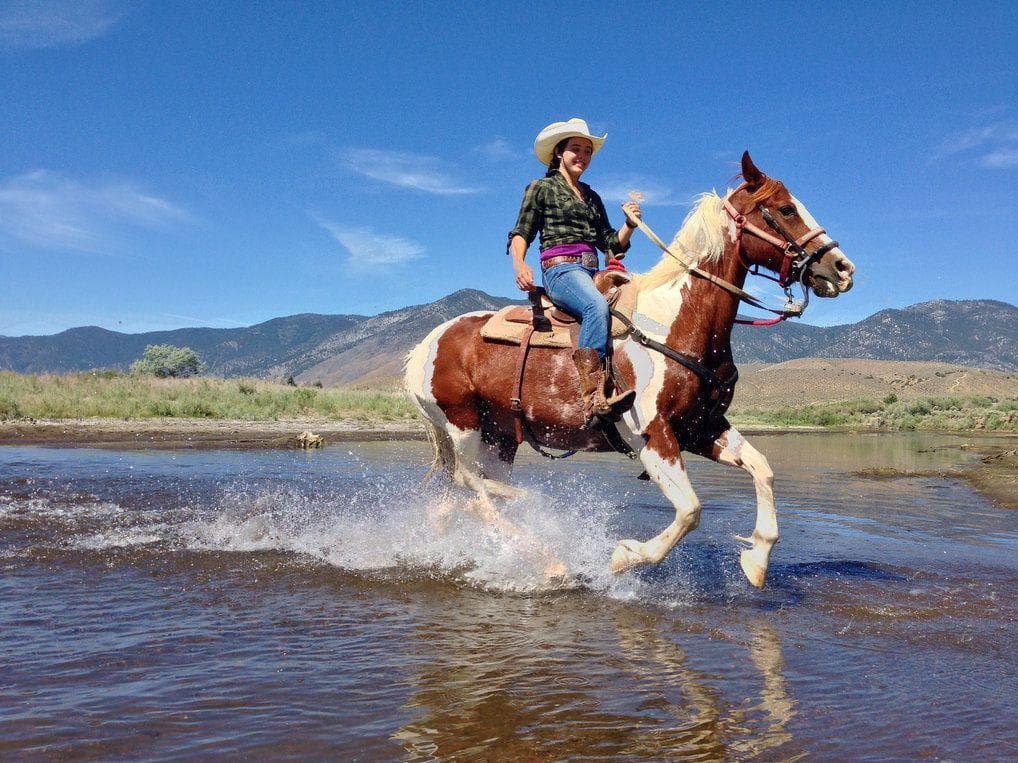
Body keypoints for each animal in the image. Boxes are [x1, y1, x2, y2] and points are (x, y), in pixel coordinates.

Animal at [404, 152, 856, 588]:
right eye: (786, 209)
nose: (842, 268)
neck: (677, 323)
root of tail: (423, 347)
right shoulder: (652, 435)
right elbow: (690, 510)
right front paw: (625, 557)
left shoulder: (701, 427)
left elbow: (762, 468)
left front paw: (757, 560)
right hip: (462, 424)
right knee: (471, 486)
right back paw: (550, 559)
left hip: (499, 436)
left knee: (468, 494)